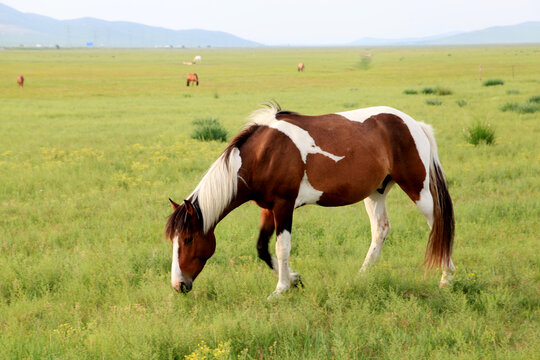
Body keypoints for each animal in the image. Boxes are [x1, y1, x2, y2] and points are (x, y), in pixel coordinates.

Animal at [166, 102, 456, 298]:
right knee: (380, 230)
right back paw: (362, 277)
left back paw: (446, 278)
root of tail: (414, 124)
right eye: (174, 241)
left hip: (418, 189)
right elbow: (262, 248)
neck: (263, 154)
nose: (179, 285)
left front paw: (281, 289)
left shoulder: (284, 206)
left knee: (439, 226)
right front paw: (294, 279)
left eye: (188, 239)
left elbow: (282, 248)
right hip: (377, 192)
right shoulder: (268, 209)